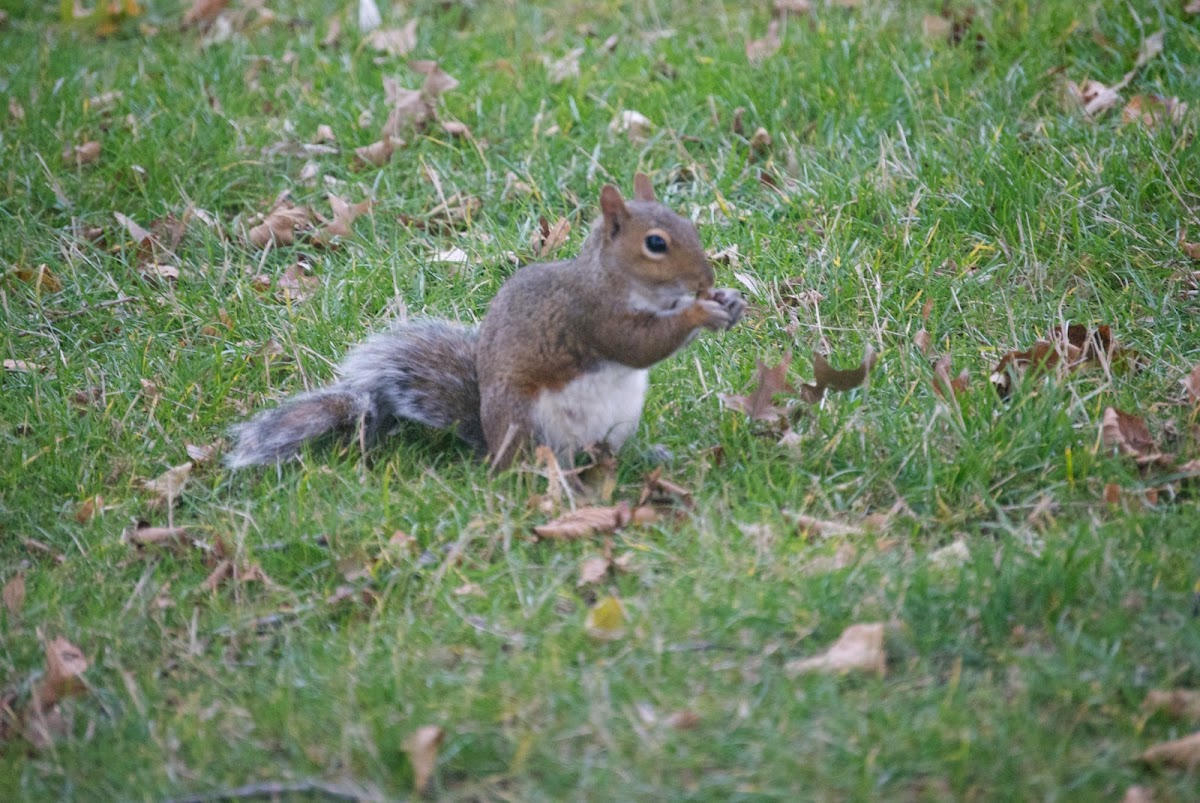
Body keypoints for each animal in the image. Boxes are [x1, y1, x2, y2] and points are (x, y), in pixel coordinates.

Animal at [225, 170, 744, 470]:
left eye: (689, 225)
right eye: (656, 243)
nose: (706, 278)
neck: (614, 279)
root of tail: (492, 450)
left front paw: (729, 301)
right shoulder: (591, 316)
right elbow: (638, 344)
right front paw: (700, 310)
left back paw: (644, 457)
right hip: (529, 421)